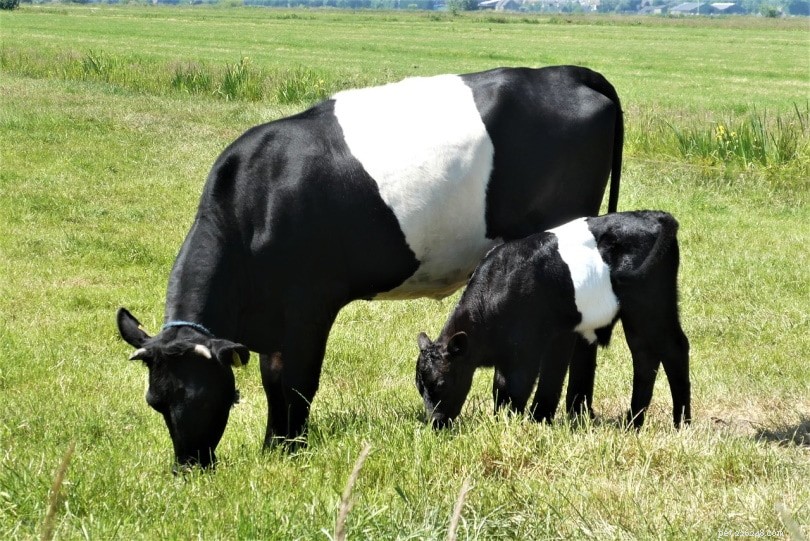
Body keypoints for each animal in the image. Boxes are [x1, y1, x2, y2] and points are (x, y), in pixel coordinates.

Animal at [116, 65, 624, 469]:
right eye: (156, 402)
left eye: (206, 394)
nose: (189, 467)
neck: (253, 207)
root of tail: (568, 71)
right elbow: (273, 381)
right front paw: (276, 447)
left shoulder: (306, 310)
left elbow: (291, 383)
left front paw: (285, 450)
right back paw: (574, 413)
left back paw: (549, 415)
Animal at [415, 210, 691, 430]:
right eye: (419, 386)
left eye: (441, 383)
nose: (436, 423)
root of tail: (655, 216)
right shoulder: (554, 337)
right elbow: (519, 383)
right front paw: (533, 418)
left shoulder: (529, 347)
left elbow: (515, 386)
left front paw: (515, 422)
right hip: (639, 317)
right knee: (645, 357)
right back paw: (633, 422)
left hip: (651, 305)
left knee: (674, 349)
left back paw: (681, 424)